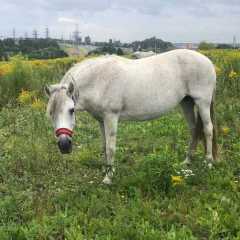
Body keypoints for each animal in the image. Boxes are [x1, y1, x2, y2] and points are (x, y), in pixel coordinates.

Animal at [45, 48, 218, 184]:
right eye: (50, 113)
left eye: (71, 110)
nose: (64, 145)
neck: (99, 80)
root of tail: (207, 61)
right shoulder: (101, 120)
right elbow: (104, 146)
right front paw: (106, 170)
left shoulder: (111, 117)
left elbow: (111, 147)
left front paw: (108, 178)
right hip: (186, 102)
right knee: (194, 129)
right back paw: (187, 161)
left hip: (202, 102)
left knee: (208, 129)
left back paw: (208, 163)